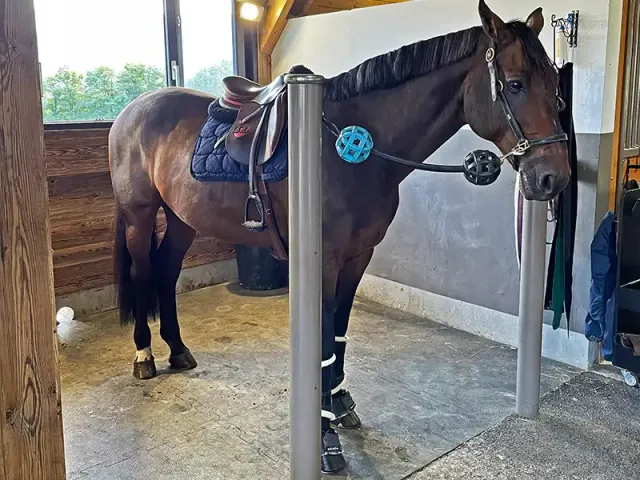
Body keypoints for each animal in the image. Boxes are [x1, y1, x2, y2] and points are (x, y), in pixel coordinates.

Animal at [109, 1, 570, 473]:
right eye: (515, 84)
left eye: (556, 84)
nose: (553, 177)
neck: (353, 151)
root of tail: (135, 109)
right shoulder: (324, 262)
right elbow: (323, 339)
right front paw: (326, 438)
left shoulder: (358, 257)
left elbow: (340, 334)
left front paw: (339, 402)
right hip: (138, 216)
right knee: (144, 273)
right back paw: (144, 356)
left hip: (181, 219)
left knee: (166, 272)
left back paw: (178, 350)